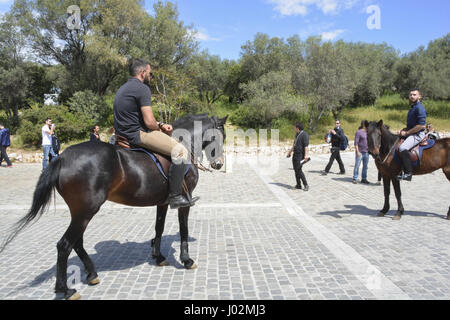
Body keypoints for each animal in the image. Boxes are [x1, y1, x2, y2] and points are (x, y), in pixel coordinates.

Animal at [0, 113, 229, 300]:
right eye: (221, 136)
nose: (219, 164)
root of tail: (62, 157)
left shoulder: (163, 202)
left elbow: (159, 227)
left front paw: (158, 256)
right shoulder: (184, 203)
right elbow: (183, 230)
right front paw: (186, 260)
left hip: (80, 212)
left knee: (77, 242)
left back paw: (92, 274)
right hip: (86, 211)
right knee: (64, 245)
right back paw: (66, 290)